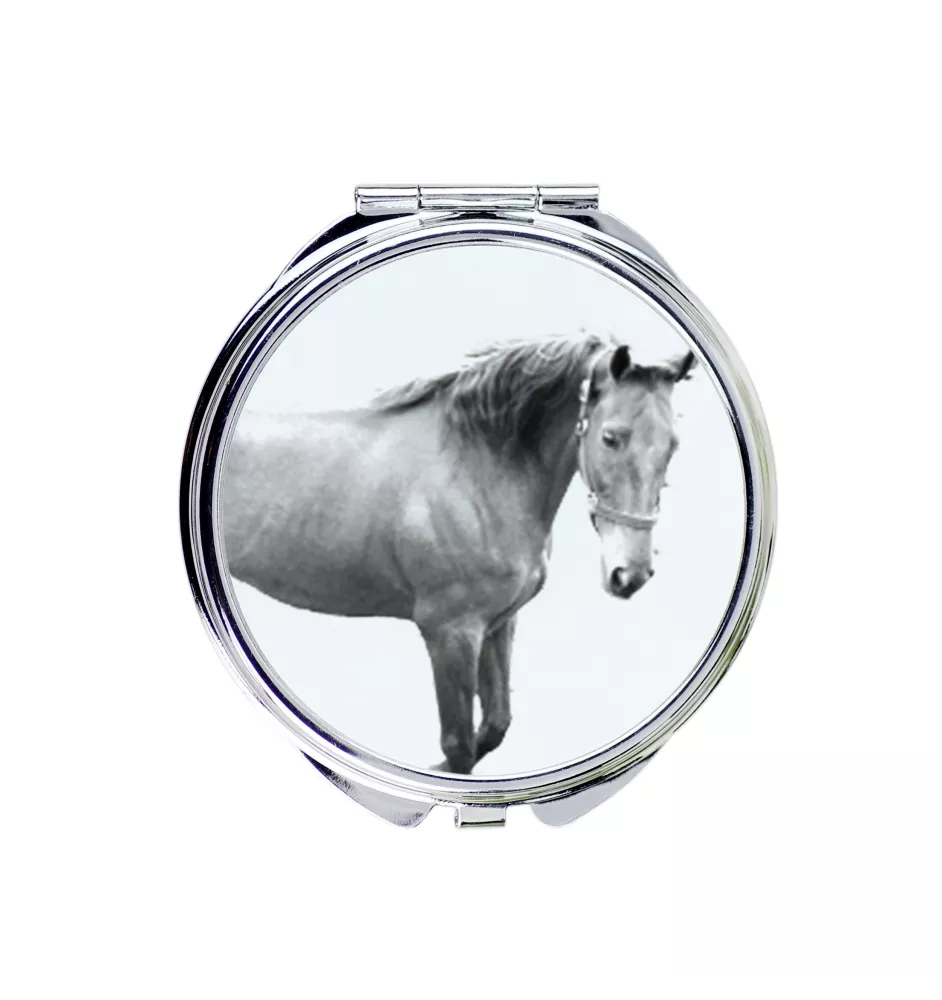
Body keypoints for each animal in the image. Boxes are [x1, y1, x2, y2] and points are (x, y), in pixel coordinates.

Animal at [223, 333, 696, 774]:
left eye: (673, 444)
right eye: (611, 438)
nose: (630, 573)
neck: (475, 469)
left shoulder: (499, 623)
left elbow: (496, 725)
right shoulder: (451, 632)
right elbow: (460, 746)